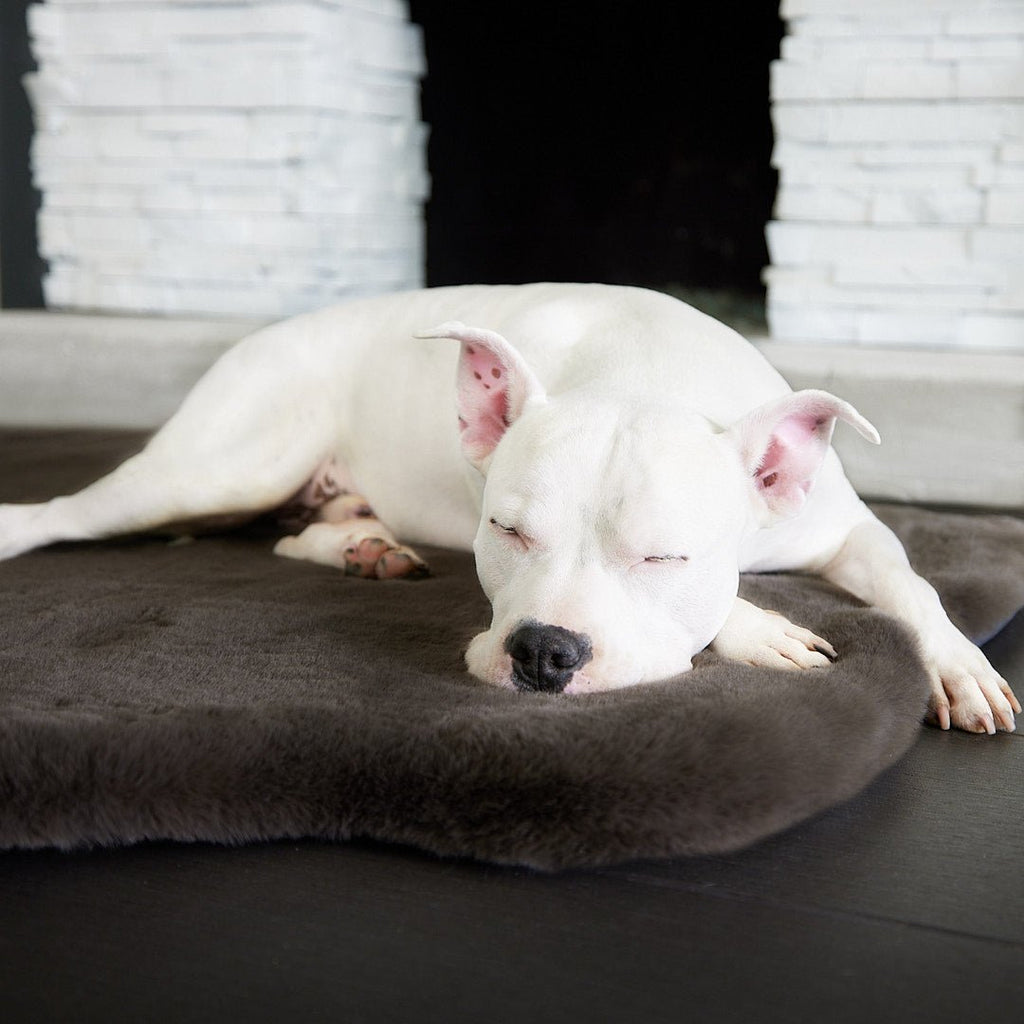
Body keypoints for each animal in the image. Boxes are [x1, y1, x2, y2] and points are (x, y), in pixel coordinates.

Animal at [2, 286, 1015, 737]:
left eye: (664, 558)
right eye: (508, 531)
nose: (544, 652)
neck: (645, 374)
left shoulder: (845, 529)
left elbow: (913, 587)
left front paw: (959, 667)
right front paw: (762, 630)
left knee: (294, 535)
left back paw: (364, 544)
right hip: (216, 471)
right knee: (67, 513)